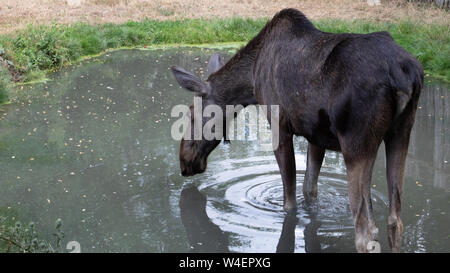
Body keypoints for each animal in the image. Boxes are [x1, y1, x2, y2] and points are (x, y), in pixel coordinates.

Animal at [171, 7, 424, 251]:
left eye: (191, 114)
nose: (184, 162)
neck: (251, 81)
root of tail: (403, 75)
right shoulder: (316, 136)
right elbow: (309, 190)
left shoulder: (279, 126)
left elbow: (289, 202)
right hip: (402, 132)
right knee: (395, 220)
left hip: (357, 144)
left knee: (366, 232)